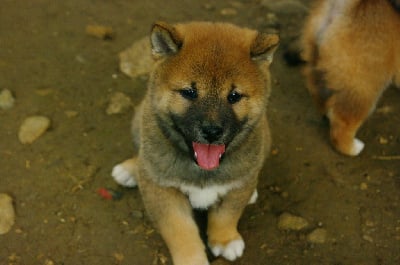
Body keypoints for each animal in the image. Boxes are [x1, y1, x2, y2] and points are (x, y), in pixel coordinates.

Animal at [109, 21, 278, 264]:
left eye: (234, 96)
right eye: (189, 92)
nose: (212, 131)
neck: (202, 169)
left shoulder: (238, 182)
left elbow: (227, 214)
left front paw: (225, 239)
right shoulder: (163, 191)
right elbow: (180, 231)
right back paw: (131, 169)